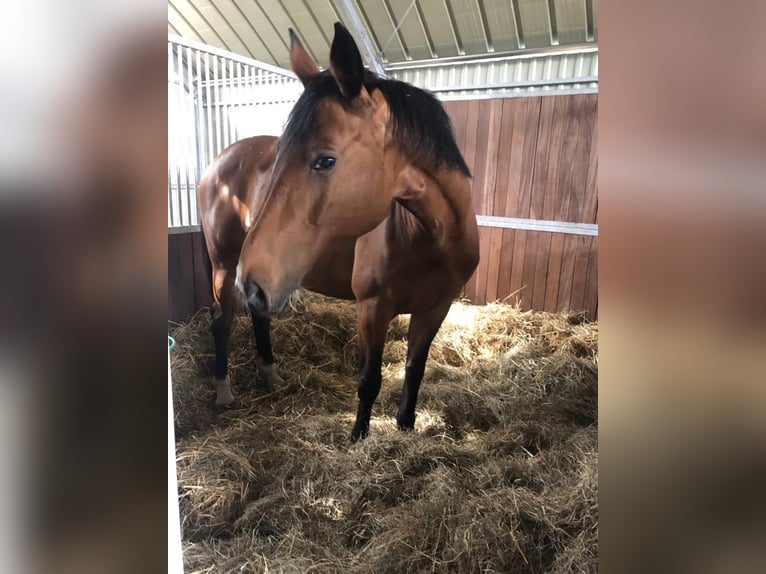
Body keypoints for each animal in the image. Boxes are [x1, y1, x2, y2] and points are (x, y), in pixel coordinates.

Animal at [201, 23, 479, 441]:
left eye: (326, 160)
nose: (252, 280)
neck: (429, 239)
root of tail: (217, 163)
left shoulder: (436, 308)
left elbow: (414, 372)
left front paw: (405, 426)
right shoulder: (372, 309)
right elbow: (369, 380)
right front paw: (359, 436)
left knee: (258, 318)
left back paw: (271, 375)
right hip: (224, 265)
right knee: (222, 322)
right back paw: (223, 391)